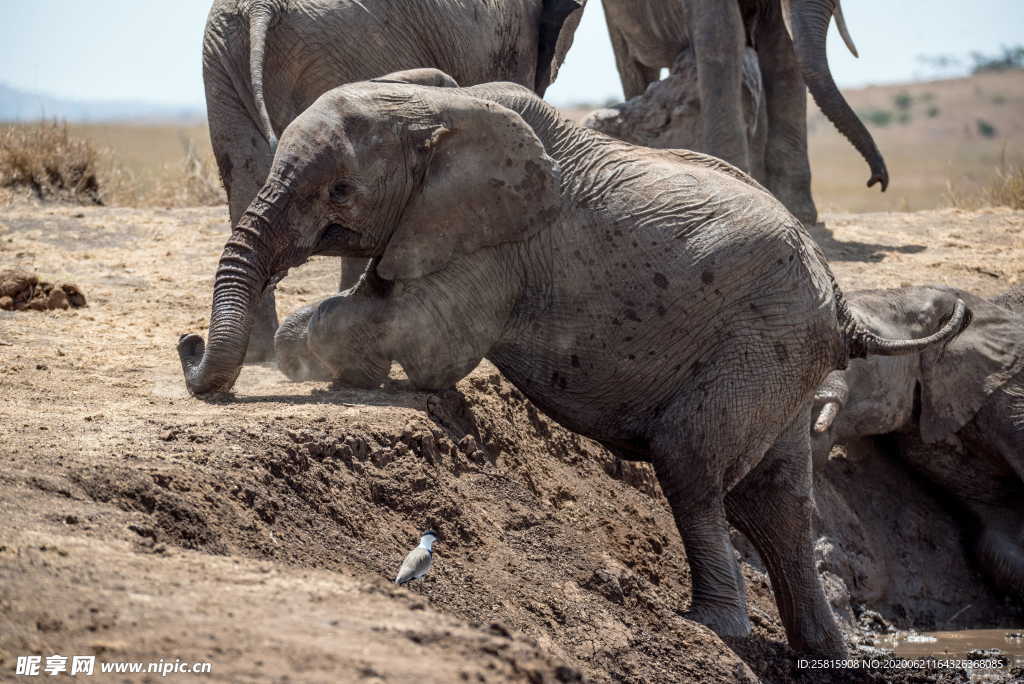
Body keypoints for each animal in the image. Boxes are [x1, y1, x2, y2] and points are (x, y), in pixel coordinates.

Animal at [176, 70, 966, 655]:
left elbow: (422, 335)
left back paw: (709, 626)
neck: (444, 108)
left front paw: (306, 357)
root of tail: (840, 305)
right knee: (775, 501)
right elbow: (383, 306)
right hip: (781, 361)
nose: (188, 348)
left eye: (340, 190)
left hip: (758, 343)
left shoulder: (503, 245)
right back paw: (820, 654)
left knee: (693, 468)